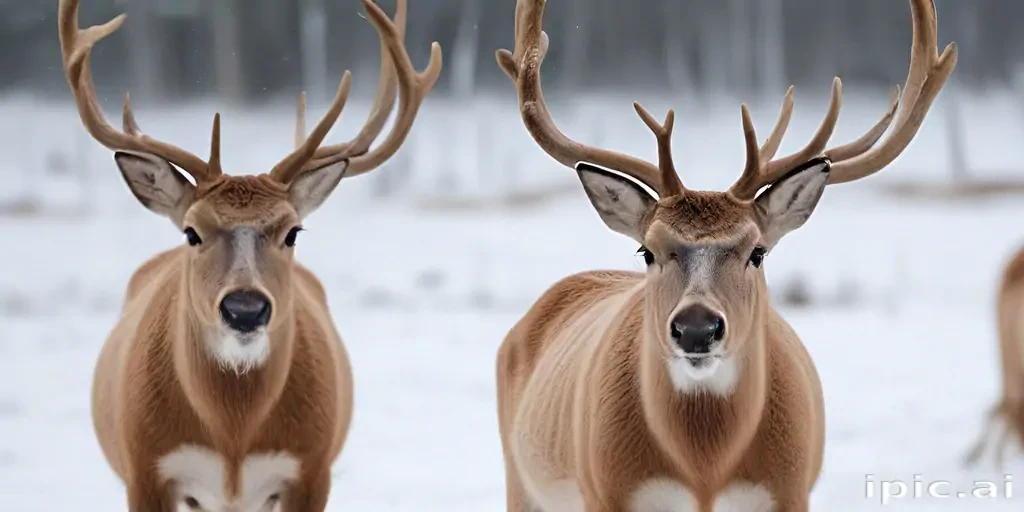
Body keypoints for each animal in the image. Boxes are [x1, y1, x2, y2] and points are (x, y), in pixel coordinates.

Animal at [58, 0, 442, 509]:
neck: (233, 435)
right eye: (192, 232)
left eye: (293, 232)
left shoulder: (312, 470)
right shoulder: (144, 470)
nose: (245, 308)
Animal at [493, 0, 956, 510]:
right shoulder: (606, 492)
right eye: (647, 250)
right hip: (521, 481)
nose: (697, 328)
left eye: (758, 251)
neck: (705, 470)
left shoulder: (791, 490)